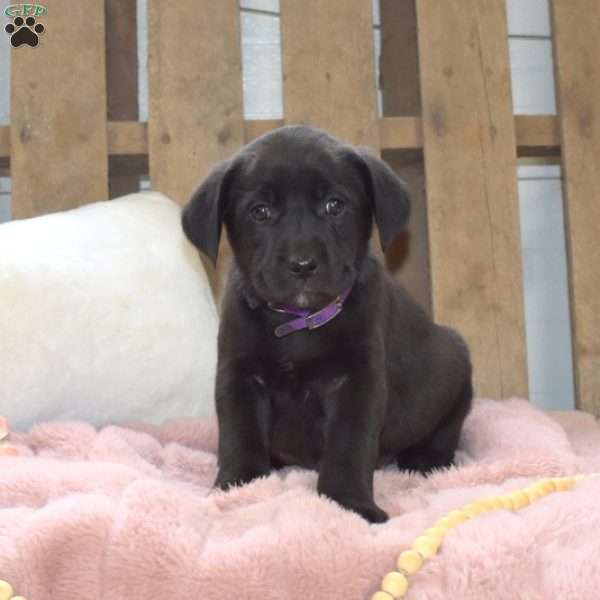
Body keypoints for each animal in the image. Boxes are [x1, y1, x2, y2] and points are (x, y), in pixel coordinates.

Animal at [183, 125, 474, 520]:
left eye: (335, 205)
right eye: (260, 211)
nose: (303, 264)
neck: (299, 323)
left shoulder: (357, 383)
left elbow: (349, 447)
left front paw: (349, 505)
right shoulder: (238, 375)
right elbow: (239, 437)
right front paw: (235, 487)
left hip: (457, 372)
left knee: (446, 431)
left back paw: (425, 459)